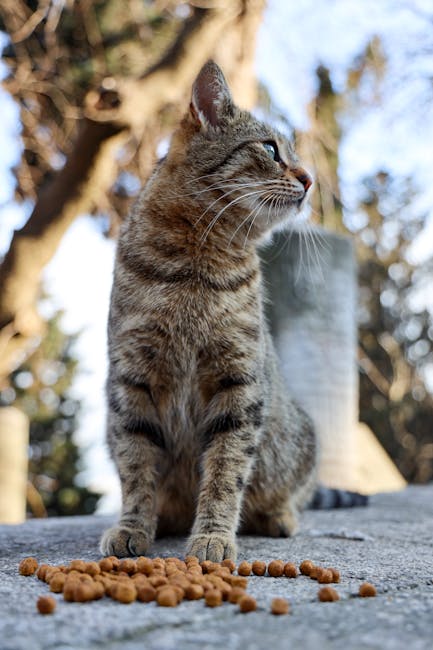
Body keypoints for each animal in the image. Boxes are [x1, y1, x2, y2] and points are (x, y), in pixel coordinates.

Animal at [101, 58, 318, 560]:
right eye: (270, 149)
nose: (309, 178)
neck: (196, 267)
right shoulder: (132, 380)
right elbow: (136, 468)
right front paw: (133, 525)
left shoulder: (237, 382)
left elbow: (225, 470)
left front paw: (213, 536)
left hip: (300, 439)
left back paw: (279, 517)